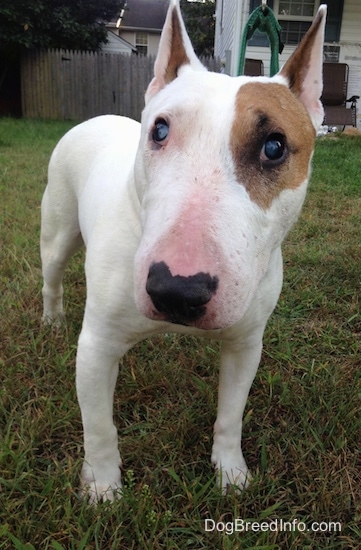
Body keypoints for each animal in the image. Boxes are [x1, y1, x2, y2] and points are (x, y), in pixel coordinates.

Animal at [40, 0, 326, 504]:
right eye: (159, 130)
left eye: (274, 147)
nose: (175, 290)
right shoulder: (96, 347)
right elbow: (98, 427)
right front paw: (103, 488)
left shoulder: (245, 344)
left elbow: (231, 413)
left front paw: (231, 473)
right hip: (57, 228)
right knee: (51, 273)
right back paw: (51, 320)